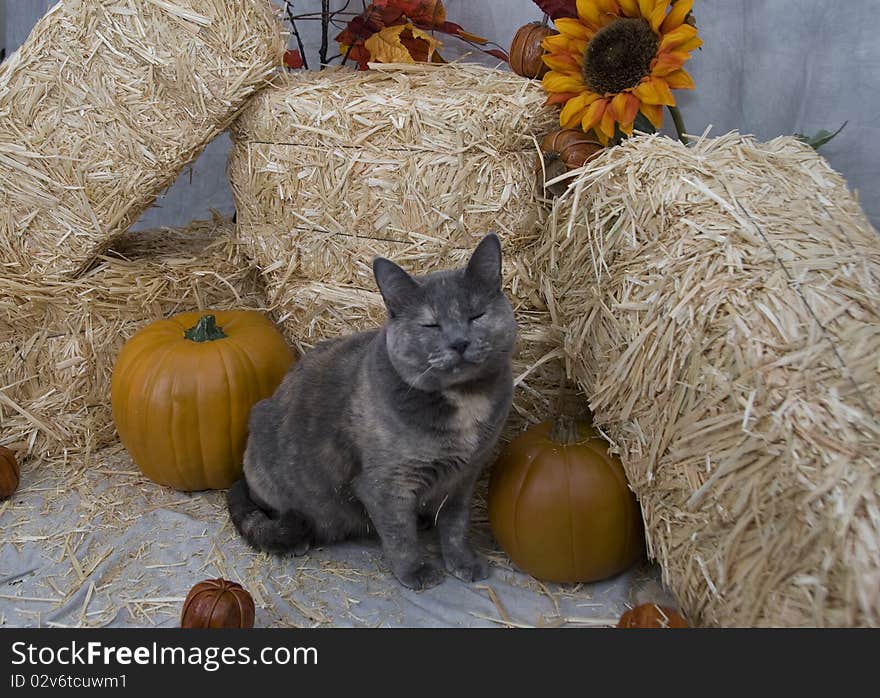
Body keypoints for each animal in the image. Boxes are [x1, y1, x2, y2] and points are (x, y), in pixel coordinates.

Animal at [223, 234, 520, 588]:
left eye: (476, 315)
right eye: (430, 324)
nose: (459, 342)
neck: (464, 399)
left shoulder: (464, 477)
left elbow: (455, 527)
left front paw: (463, 561)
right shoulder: (386, 485)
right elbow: (399, 535)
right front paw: (416, 571)